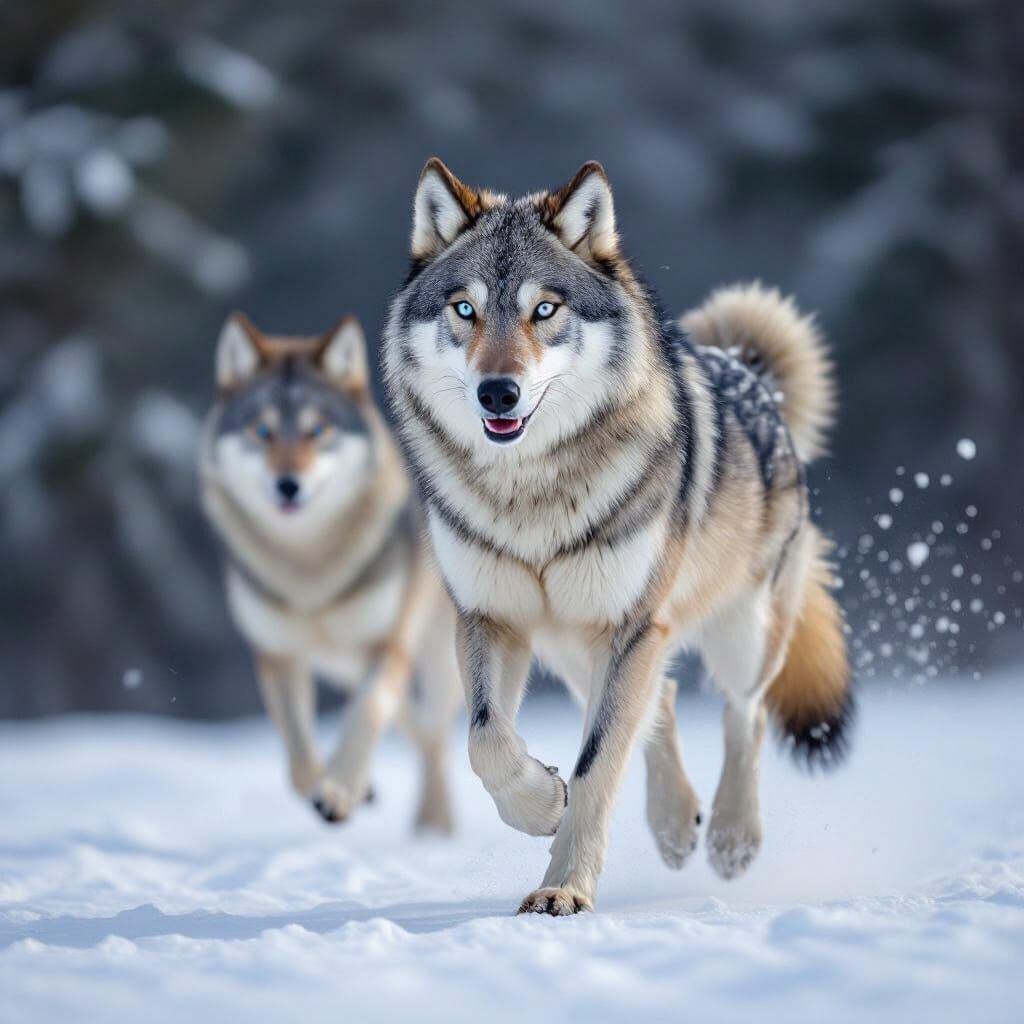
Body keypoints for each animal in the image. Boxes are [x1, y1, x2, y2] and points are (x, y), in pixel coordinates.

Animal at [200, 312, 461, 832]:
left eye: (317, 430)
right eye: (262, 432)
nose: (288, 484)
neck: (311, 571)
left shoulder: (387, 648)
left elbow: (364, 715)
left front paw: (340, 790)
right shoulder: (278, 655)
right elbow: (299, 758)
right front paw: (334, 787)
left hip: (438, 659)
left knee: (437, 733)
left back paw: (434, 823)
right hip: (349, 669)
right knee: (418, 730)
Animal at [382, 158, 853, 914]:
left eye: (545, 310)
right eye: (465, 309)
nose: (497, 393)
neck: (533, 494)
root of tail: (749, 372)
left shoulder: (631, 624)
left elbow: (599, 763)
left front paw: (564, 889)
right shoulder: (489, 618)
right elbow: (486, 740)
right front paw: (542, 804)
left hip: (736, 634)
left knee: (742, 715)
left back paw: (730, 837)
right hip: (575, 648)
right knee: (662, 704)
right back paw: (674, 826)